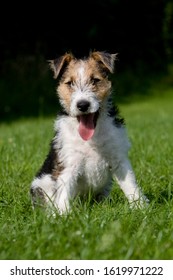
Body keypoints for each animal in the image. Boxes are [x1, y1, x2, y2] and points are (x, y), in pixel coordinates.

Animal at [30, 50, 148, 214]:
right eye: (70, 83)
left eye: (95, 80)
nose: (83, 105)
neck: (92, 137)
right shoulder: (68, 164)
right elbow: (64, 192)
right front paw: (64, 215)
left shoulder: (118, 158)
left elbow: (130, 183)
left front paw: (141, 207)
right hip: (41, 185)